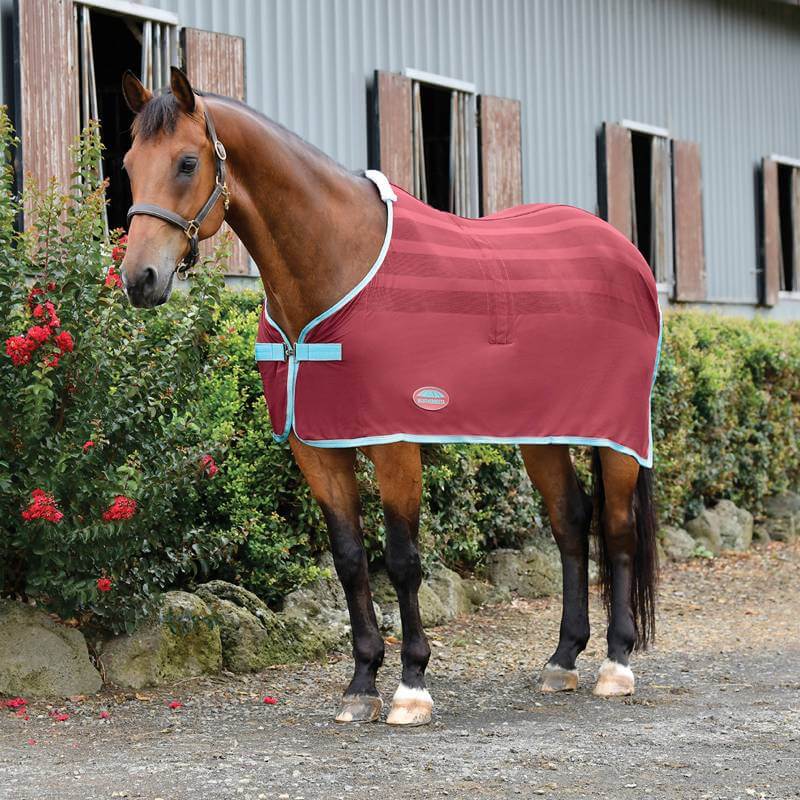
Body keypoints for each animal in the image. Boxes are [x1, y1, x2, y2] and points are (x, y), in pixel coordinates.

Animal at [119, 67, 659, 727]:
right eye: (128, 163)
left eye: (188, 162)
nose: (139, 279)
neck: (336, 264)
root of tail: (625, 252)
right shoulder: (317, 445)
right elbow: (350, 558)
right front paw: (360, 685)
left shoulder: (394, 440)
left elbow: (401, 559)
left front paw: (411, 686)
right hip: (543, 433)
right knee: (570, 522)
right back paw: (561, 660)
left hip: (618, 435)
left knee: (616, 529)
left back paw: (616, 665)